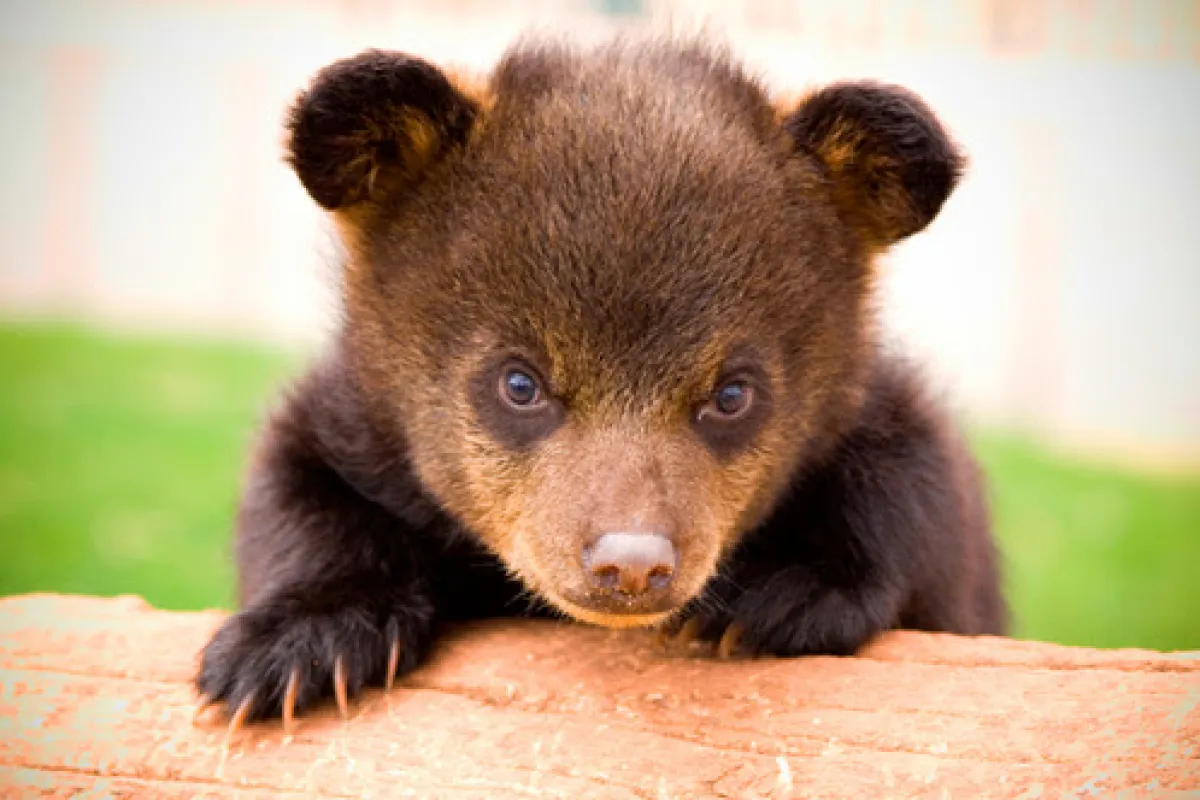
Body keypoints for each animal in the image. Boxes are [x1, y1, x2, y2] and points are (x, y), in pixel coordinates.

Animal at [195, 33, 1007, 732]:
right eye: (519, 382)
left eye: (733, 394)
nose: (633, 563)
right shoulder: (356, 417)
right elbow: (296, 487)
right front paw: (295, 646)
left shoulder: (872, 414)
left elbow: (918, 489)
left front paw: (782, 593)